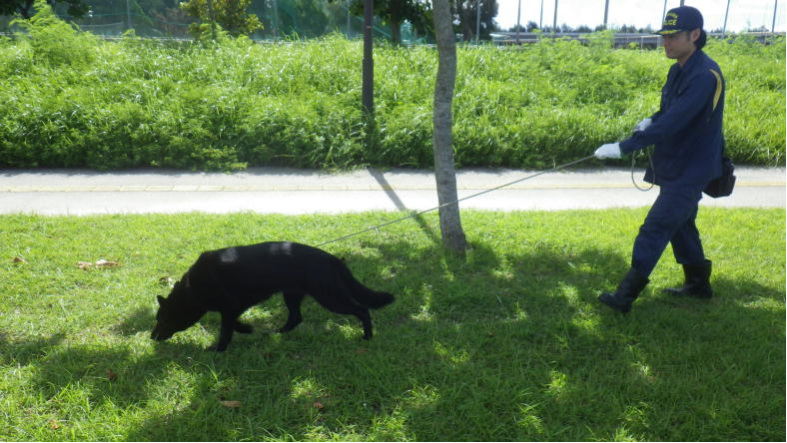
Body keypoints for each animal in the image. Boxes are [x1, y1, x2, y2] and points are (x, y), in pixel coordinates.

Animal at [150, 241, 394, 352]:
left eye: (163, 319)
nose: (152, 337)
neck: (192, 289)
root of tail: (331, 258)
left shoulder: (230, 307)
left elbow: (227, 329)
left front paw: (219, 350)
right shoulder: (234, 307)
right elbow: (233, 324)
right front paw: (247, 329)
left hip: (329, 296)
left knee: (362, 309)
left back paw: (367, 337)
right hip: (292, 295)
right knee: (295, 318)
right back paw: (276, 333)